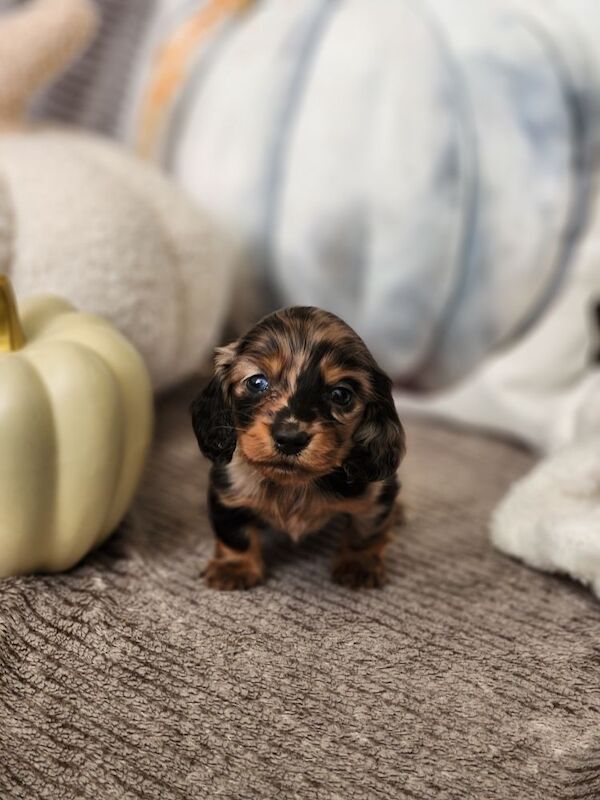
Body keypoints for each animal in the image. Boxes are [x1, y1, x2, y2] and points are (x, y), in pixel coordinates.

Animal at [191, 306, 408, 588]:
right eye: (257, 382)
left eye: (341, 394)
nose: (290, 438)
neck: (293, 486)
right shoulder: (229, 492)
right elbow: (235, 534)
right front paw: (234, 567)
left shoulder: (375, 495)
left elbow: (366, 531)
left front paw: (359, 565)